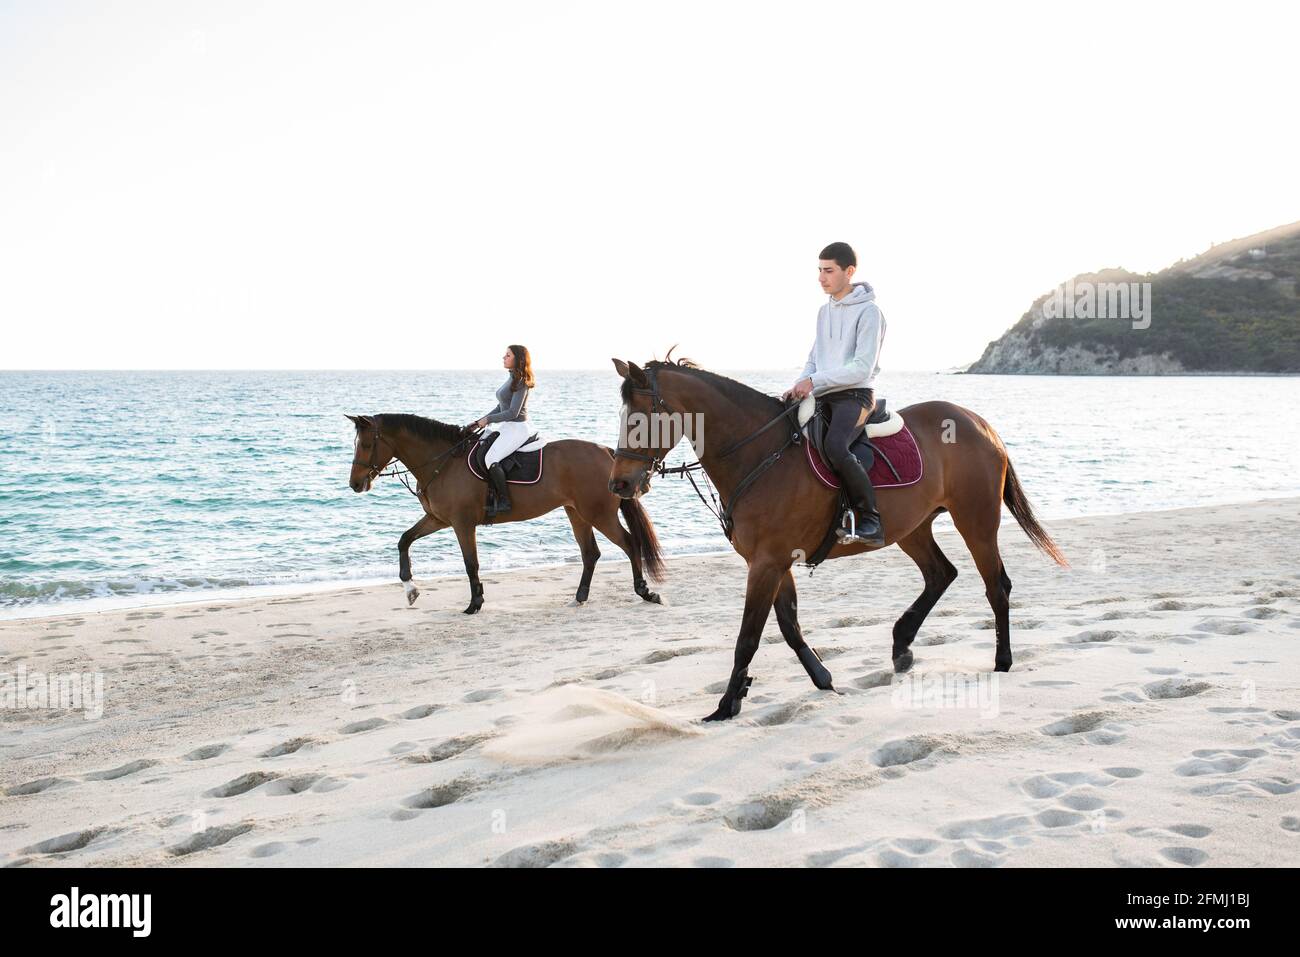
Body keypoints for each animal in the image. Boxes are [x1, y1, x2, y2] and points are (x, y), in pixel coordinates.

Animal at [345, 410, 665, 613]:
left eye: (367, 444)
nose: (355, 484)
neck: (443, 462)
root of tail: (607, 453)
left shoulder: (462, 523)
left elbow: (470, 563)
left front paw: (474, 604)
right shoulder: (438, 519)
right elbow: (404, 540)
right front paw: (410, 589)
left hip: (599, 514)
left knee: (629, 543)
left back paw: (645, 591)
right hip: (577, 514)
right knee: (591, 554)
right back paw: (579, 598)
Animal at [605, 356, 1066, 717]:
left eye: (641, 418)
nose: (619, 484)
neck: (759, 455)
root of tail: (980, 423)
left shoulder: (768, 562)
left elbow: (748, 637)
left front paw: (725, 705)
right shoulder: (772, 561)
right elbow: (788, 625)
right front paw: (821, 678)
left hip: (976, 520)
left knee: (996, 586)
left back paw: (1002, 661)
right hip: (912, 528)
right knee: (941, 574)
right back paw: (902, 646)